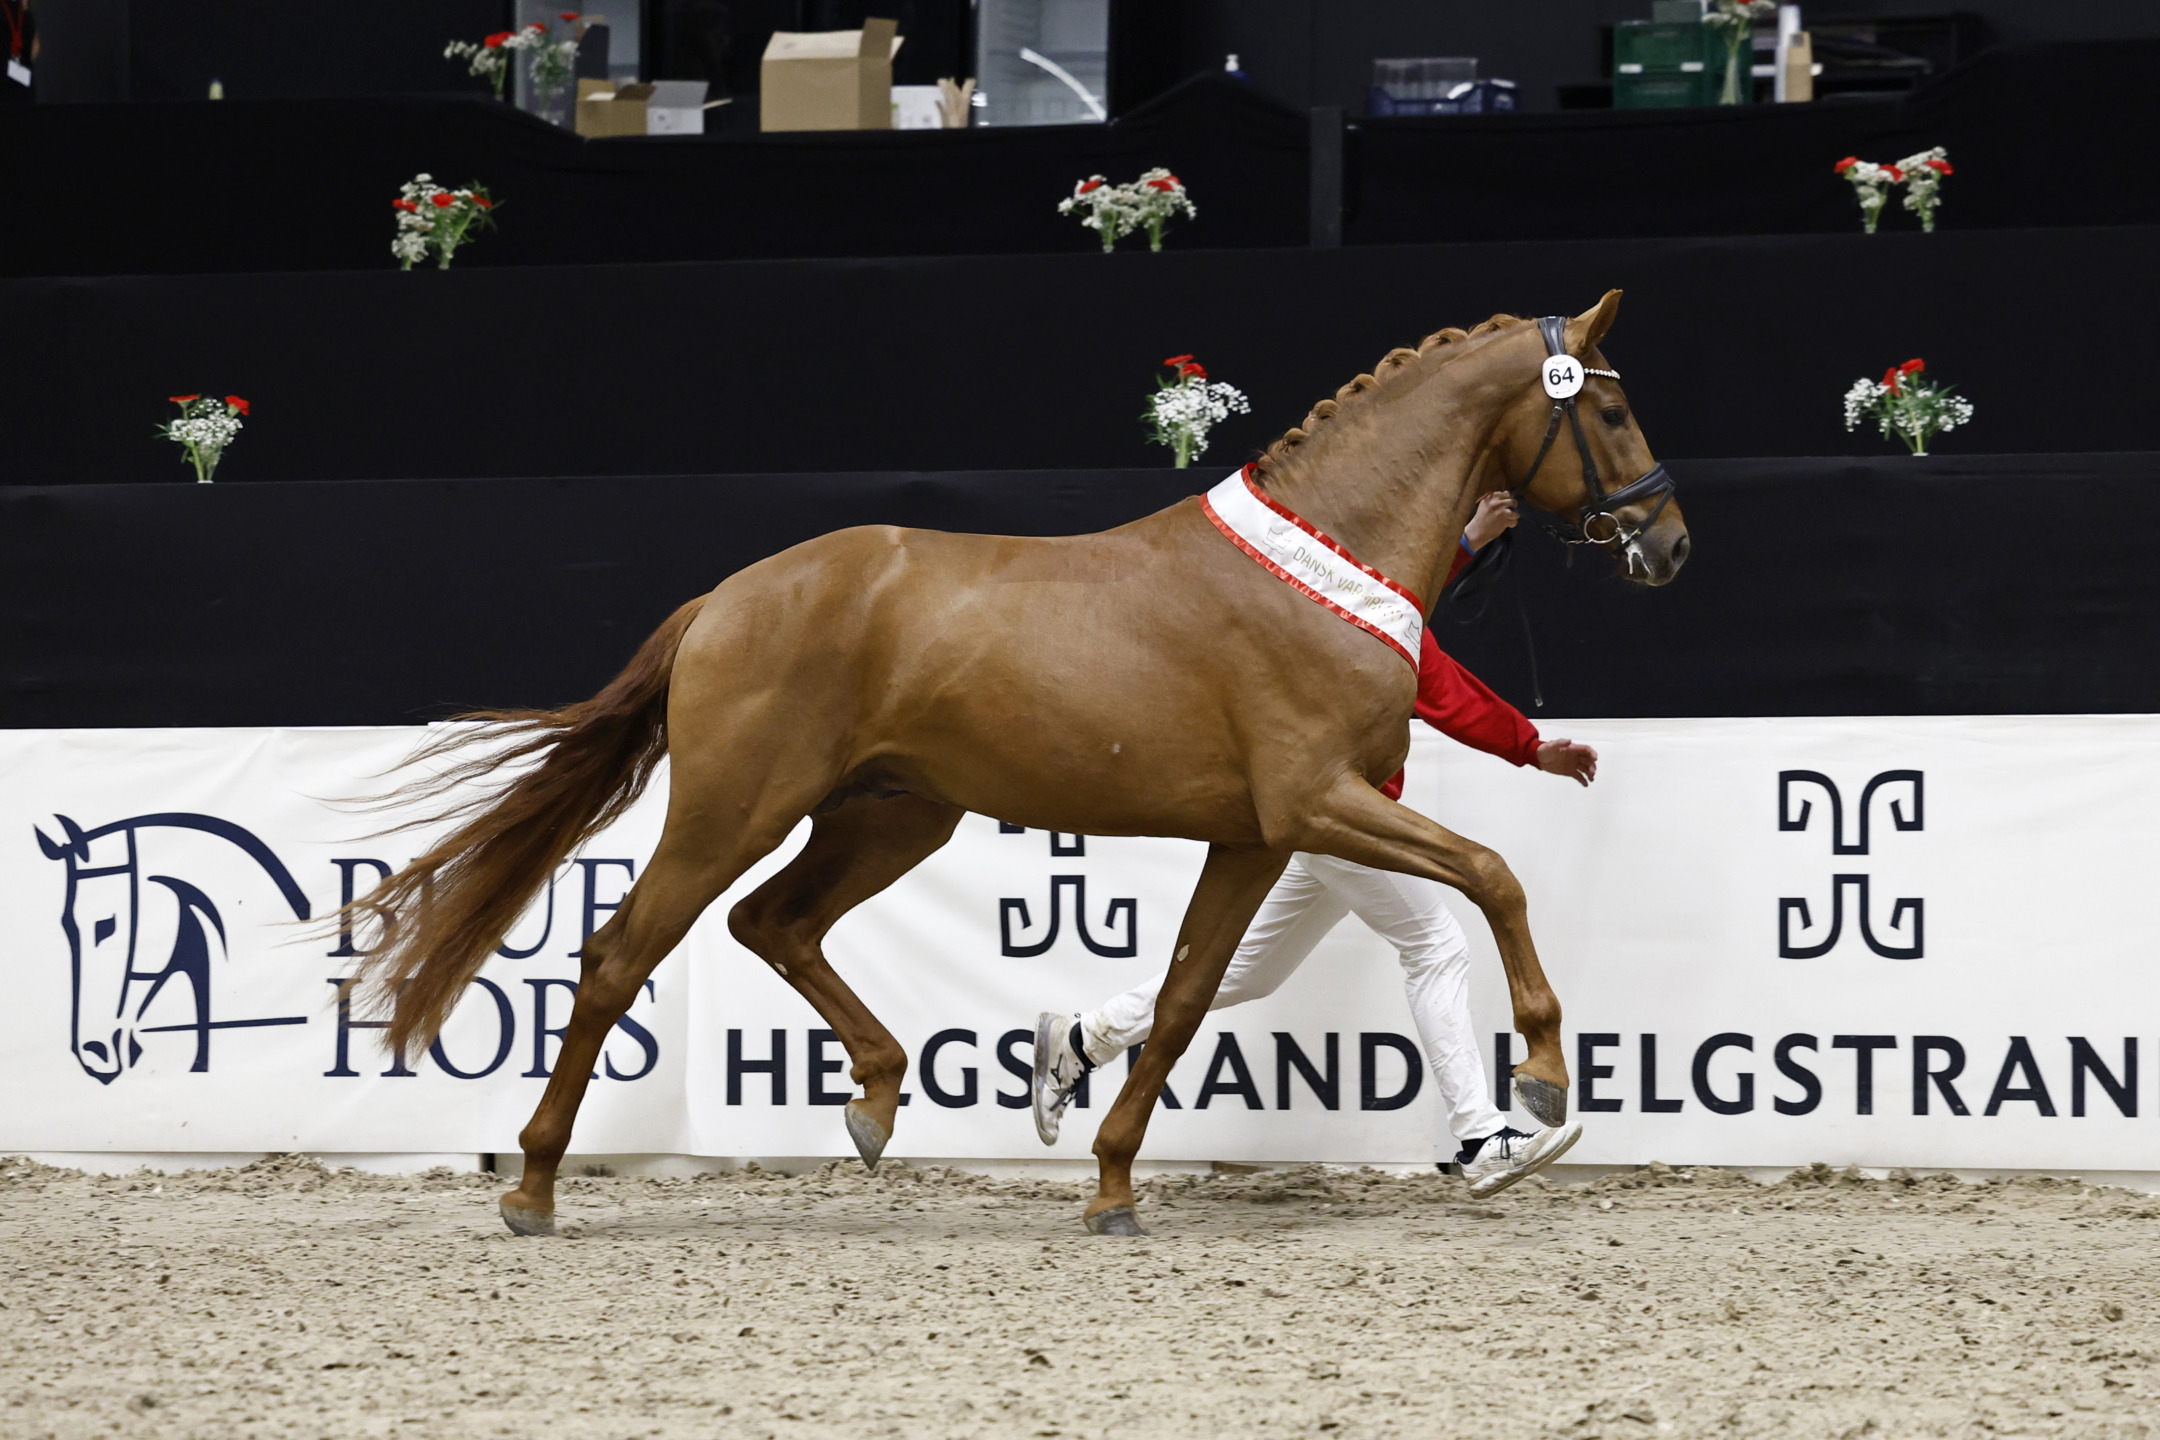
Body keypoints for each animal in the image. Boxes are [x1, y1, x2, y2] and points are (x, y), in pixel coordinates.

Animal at [345, 292, 1690, 1237]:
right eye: (1614, 410)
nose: (1670, 542)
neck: (1326, 561)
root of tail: (726, 597)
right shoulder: (1319, 801)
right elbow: (1496, 873)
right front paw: (1545, 1083)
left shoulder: (1260, 834)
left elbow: (1184, 997)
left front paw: (1110, 1185)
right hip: (737, 809)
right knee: (624, 953)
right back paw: (533, 1186)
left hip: (889, 819)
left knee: (774, 924)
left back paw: (875, 1098)